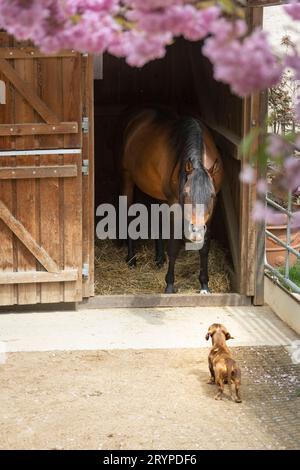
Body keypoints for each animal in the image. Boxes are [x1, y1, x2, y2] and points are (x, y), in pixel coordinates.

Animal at [119, 110, 223, 294]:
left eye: (211, 195)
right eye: (186, 193)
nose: (196, 231)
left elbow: (204, 247)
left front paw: (204, 285)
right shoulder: (175, 205)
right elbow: (174, 246)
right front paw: (169, 285)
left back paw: (159, 259)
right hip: (128, 177)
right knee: (128, 215)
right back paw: (131, 259)